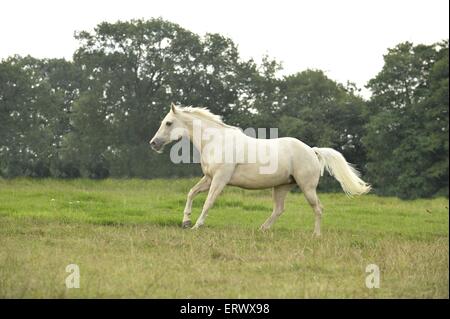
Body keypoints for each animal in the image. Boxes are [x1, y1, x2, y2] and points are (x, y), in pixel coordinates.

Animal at [149, 104, 370, 236]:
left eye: (168, 123)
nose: (153, 143)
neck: (215, 141)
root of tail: (312, 151)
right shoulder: (209, 178)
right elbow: (191, 193)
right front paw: (186, 221)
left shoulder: (220, 179)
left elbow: (208, 202)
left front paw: (196, 226)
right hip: (281, 187)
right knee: (279, 209)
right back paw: (262, 229)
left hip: (307, 188)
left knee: (318, 209)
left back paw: (316, 235)